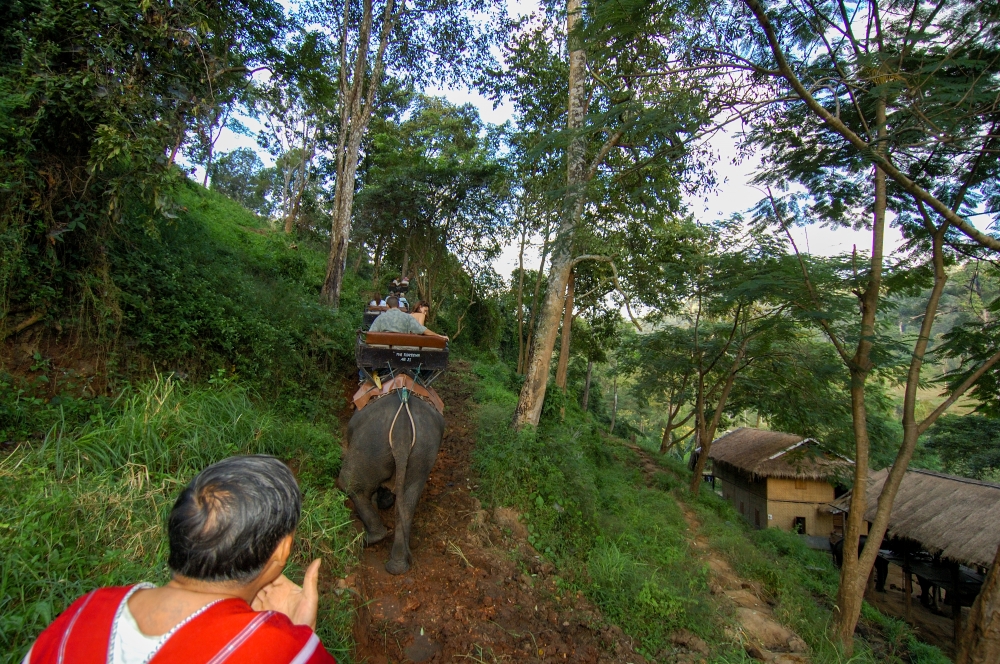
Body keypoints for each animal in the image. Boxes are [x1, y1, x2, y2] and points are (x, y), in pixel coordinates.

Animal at [338, 390, 444, 576]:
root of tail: (402, 431)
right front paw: (385, 499)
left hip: (369, 445)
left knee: (348, 482)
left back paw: (371, 538)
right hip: (423, 454)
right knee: (408, 503)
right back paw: (398, 565)